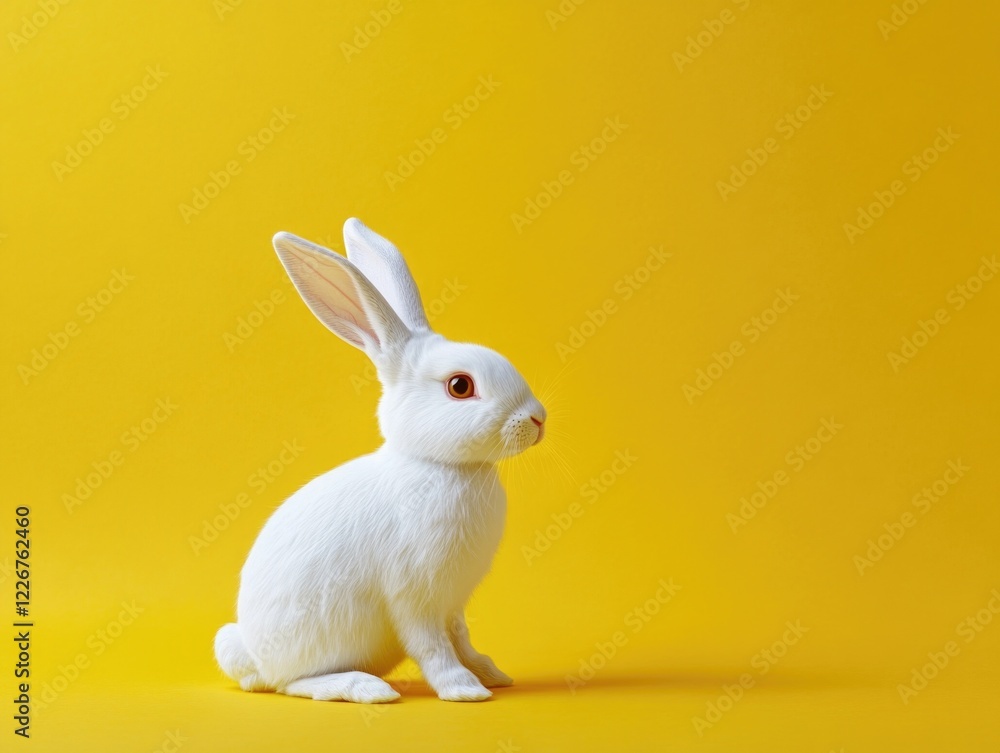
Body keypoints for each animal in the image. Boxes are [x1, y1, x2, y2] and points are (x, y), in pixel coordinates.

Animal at [214, 218, 546, 703]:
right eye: (460, 386)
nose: (537, 419)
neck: (437, 464)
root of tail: (253, 656)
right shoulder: (413, 595)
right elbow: (432, 645)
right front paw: (463, 689)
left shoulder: (452, 603)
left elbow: (461, 636)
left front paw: (490, 673)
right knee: (291, 682)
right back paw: (366, 688)